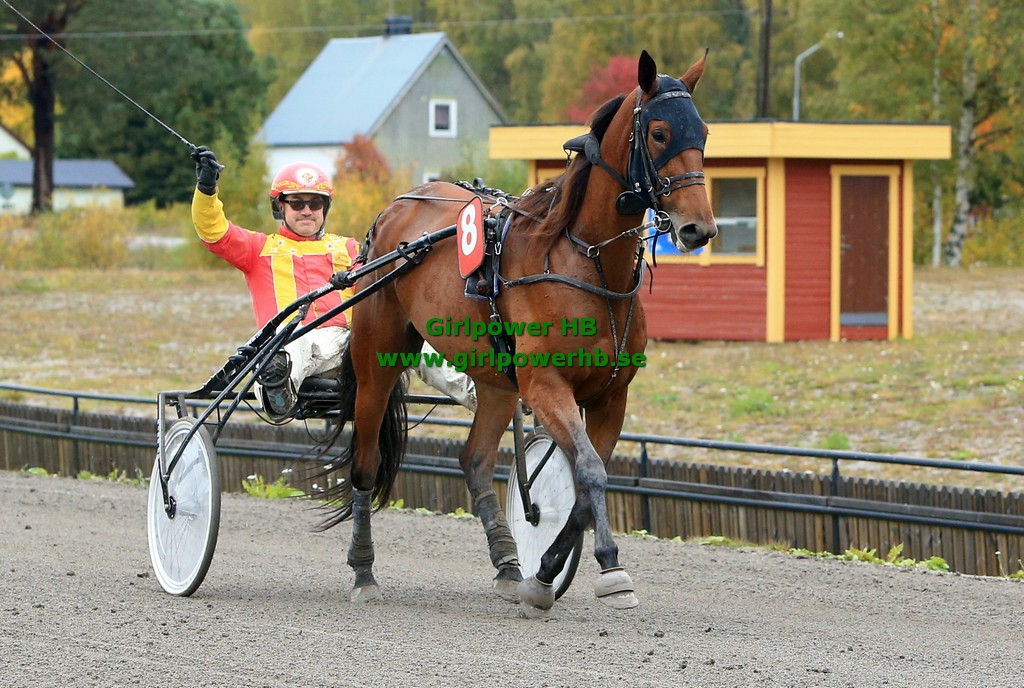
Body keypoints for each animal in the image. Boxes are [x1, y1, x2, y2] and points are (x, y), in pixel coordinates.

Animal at [322, 49, 717, 613]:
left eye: (702, 131)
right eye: (660, 132)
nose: (698, 228)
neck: (587, 262)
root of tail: (396, 208)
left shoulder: (611, 395)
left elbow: (585, 481)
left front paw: (543, 573)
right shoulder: (545, 383)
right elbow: (589, 470)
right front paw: (610, 567)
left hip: (495, 381)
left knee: (475, 461)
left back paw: (509, 566)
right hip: (379, 353)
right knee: (367, 458)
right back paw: (363, 570)